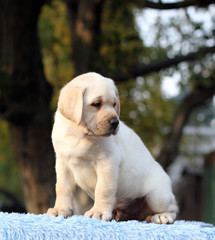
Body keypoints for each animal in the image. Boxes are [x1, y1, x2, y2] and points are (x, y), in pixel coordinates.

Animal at [47, 72, 178, 224]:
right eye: (96, 104)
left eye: (114, 104)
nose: (115, 122)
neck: (80, 135)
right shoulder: (63, 164)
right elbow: (62, 188)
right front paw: (60, 210)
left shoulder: (107, 162)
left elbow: (103, 189)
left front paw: (98, 212)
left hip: (157, 196)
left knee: (173, 208)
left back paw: (163, 216)